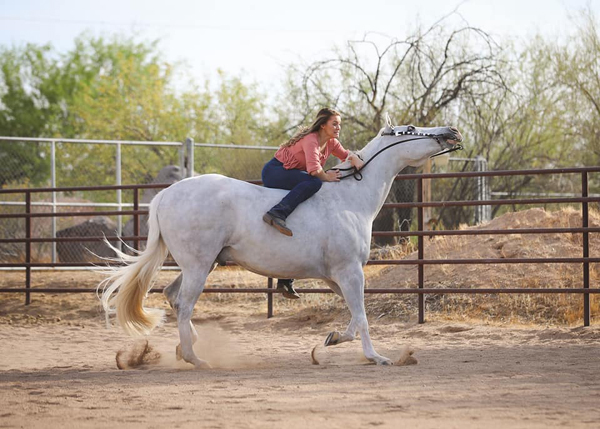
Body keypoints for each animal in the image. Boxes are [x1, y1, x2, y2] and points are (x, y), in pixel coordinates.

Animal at [101, 122, 462, 366]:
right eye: (411, 129)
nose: (452, 132)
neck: (350, 198)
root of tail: (164, 195)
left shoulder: (337, 276)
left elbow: (354, 315)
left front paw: (331, 339)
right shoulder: (349, 272)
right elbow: (361, 316)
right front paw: (376, 357)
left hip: (203, 264)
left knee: (173, 297)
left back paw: (185, 347)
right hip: (198, 266)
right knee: (185, 303)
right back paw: (195, 358)